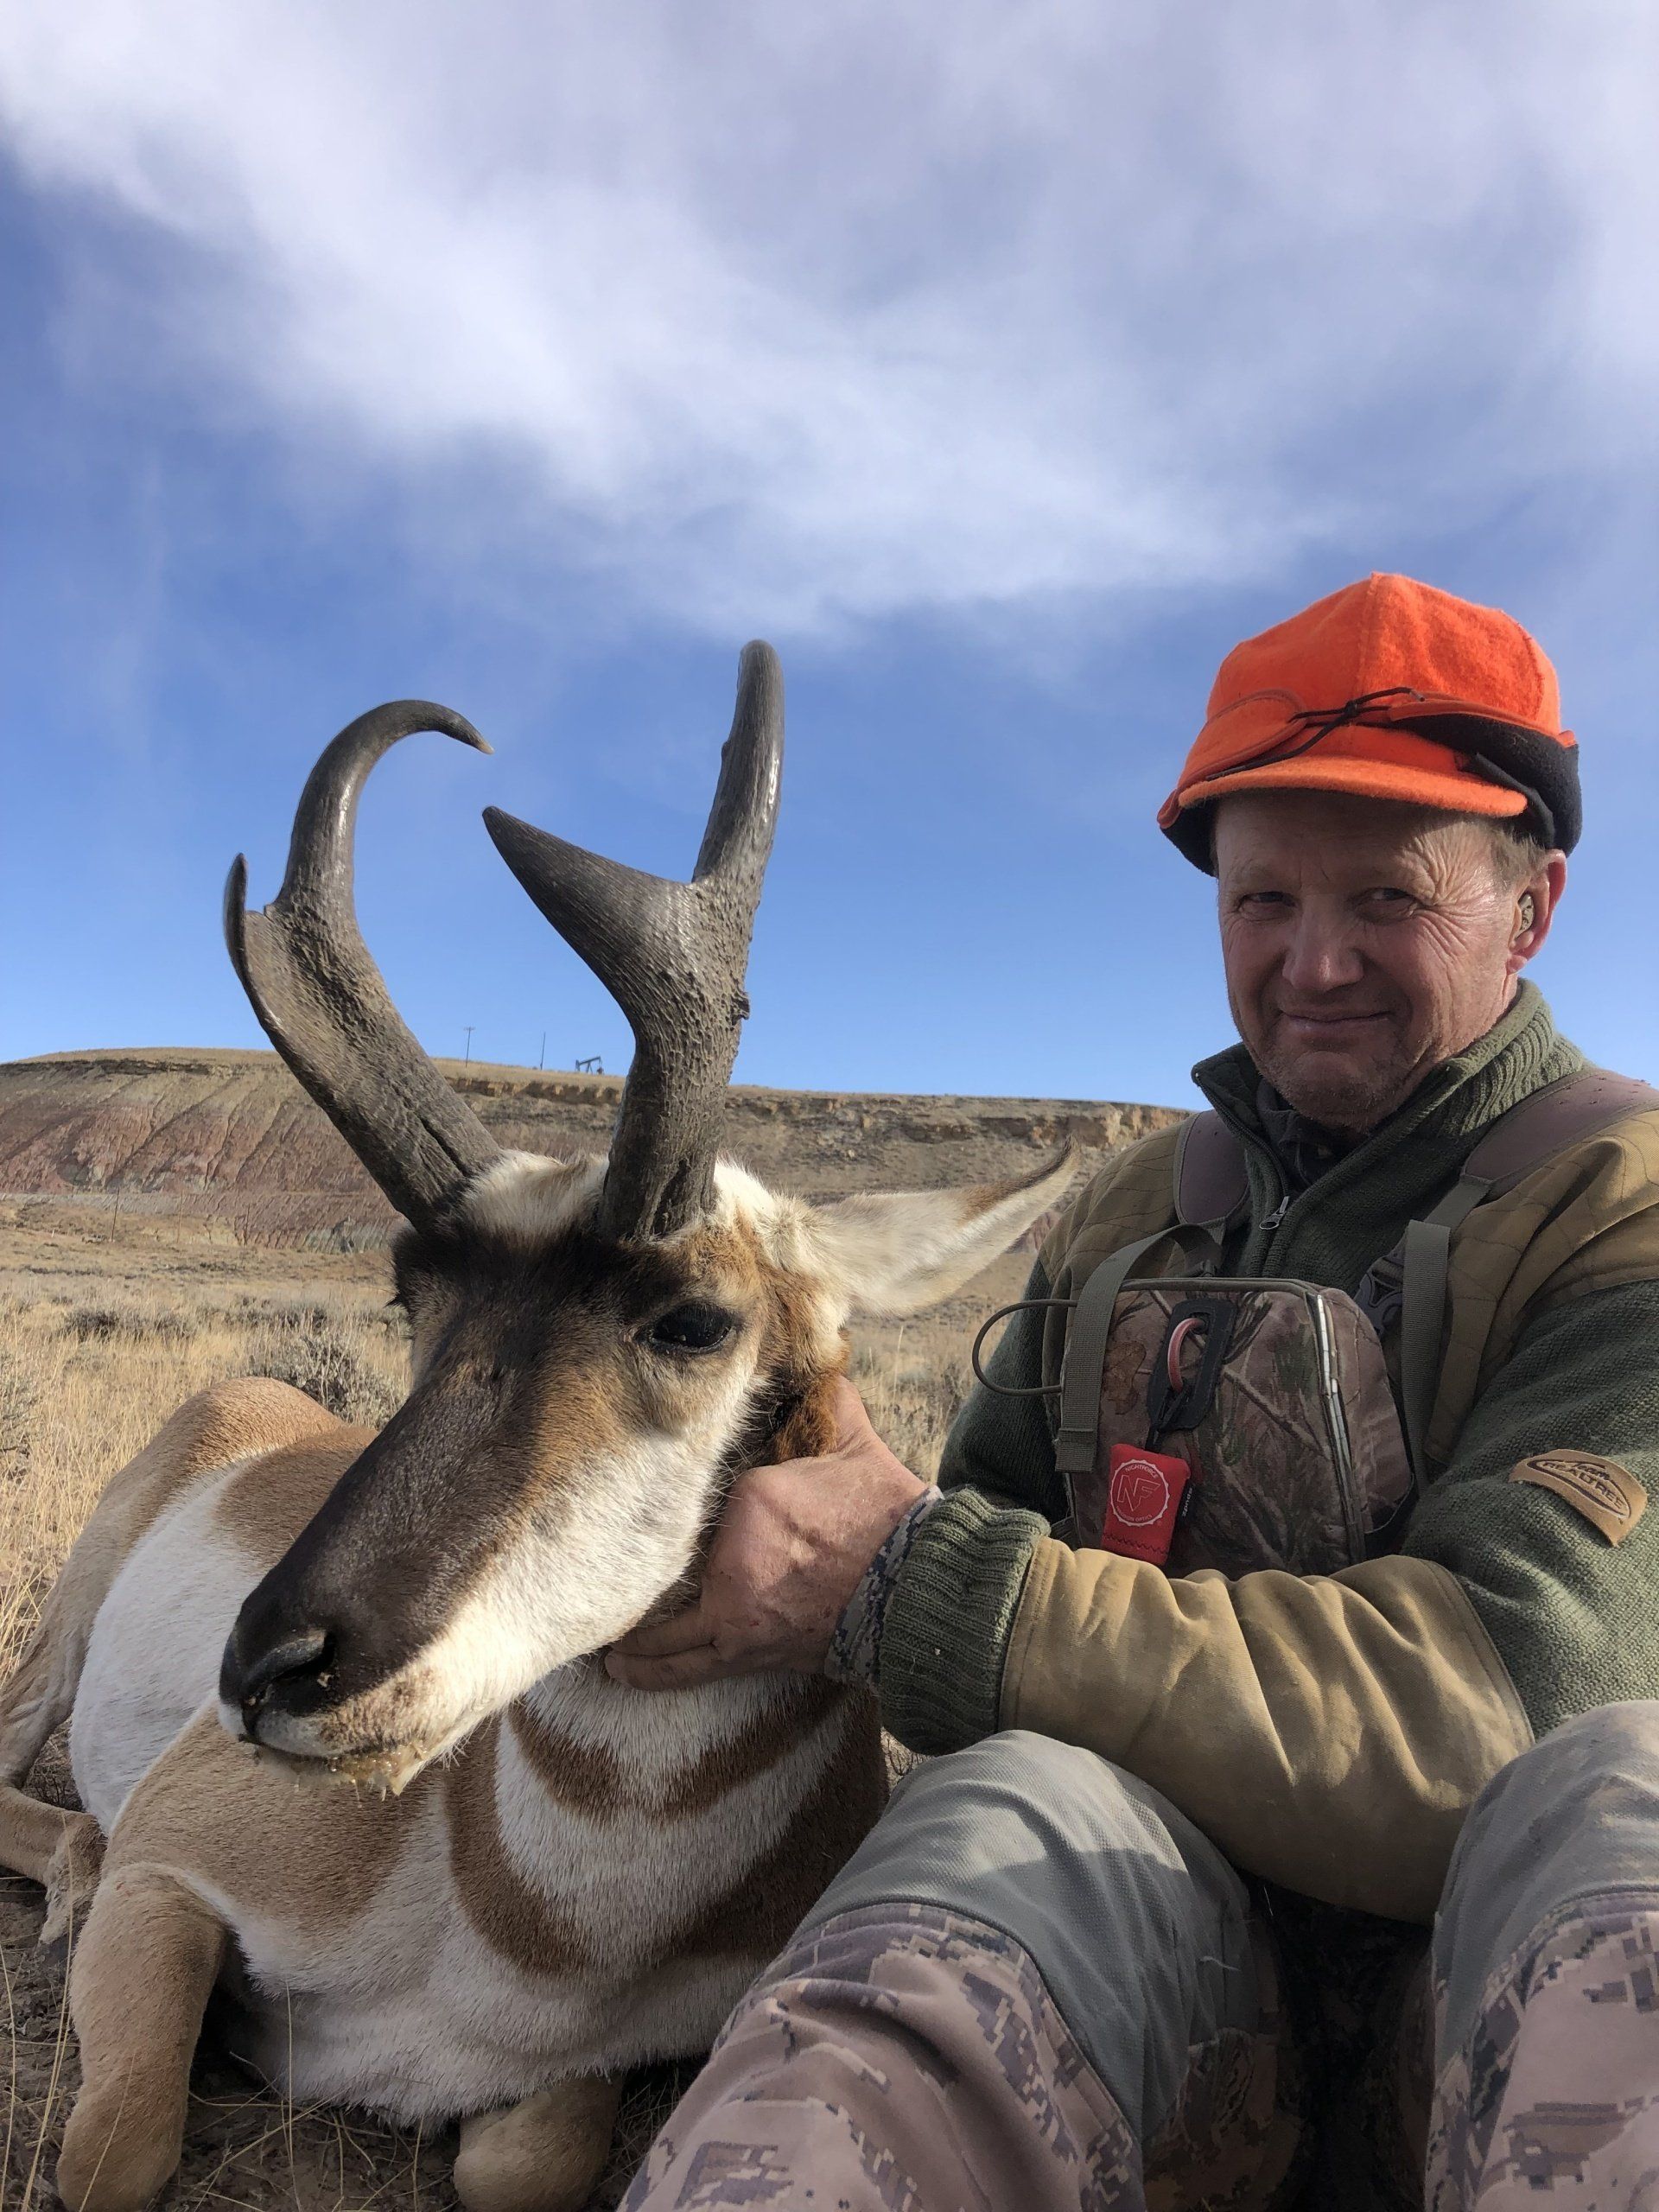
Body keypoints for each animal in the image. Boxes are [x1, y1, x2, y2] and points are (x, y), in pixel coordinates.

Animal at [0, 647, 1071, 2212]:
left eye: (692, 1321)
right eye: (414, 1293)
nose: (269, 1672)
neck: (528, 1942)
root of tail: (256, 1404)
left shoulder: (595, 2079)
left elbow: (530, 2159)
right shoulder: (169, 1877)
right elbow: (121, 2142)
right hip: (62, 1638)